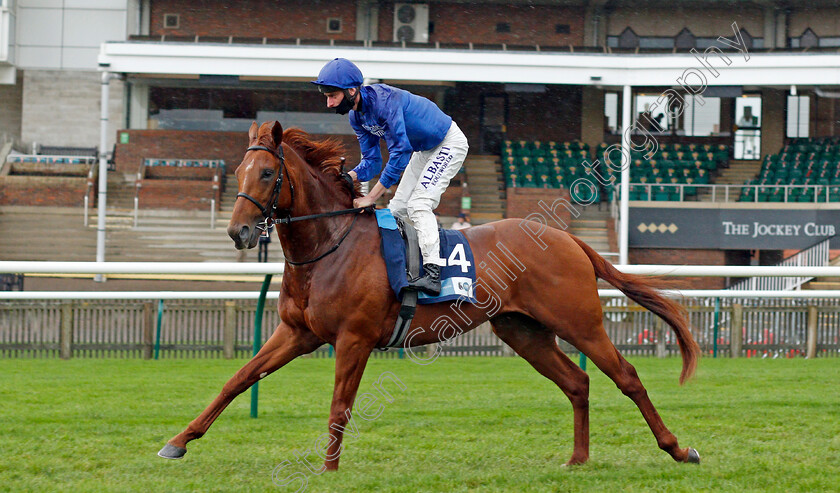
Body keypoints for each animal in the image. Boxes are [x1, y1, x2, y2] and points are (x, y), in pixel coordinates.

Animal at [158, 121, 704, 468]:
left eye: (268, 174)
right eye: (237, 173)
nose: (239, 233)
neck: (329, 244)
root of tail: (568, 238)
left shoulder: (354, 338)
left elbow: (340, 405)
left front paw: (328, 470)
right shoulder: (298, 333)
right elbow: (236, 380)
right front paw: (179, 441)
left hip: (580, 322)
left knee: (626, 377)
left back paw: (679, 448)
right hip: (523, 331)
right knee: (578, 382)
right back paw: (578, 459)